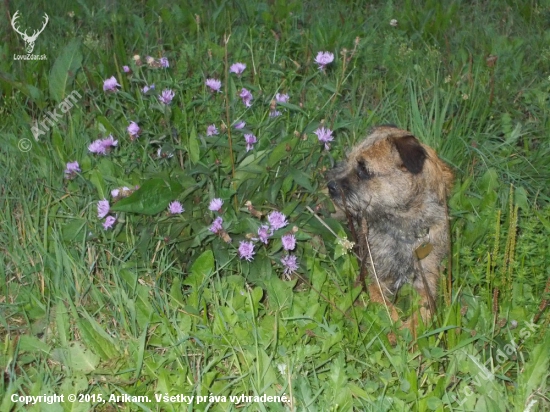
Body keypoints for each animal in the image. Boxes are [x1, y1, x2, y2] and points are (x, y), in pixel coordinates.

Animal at [328, 125, 452, 332]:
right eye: (349, 160)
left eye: (364, 169)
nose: (330, 185)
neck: (403, 230)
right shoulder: (373, 279)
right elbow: (385, 308)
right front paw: (396, 331)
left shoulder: (427, 282)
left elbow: (423, 311)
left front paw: (411, 332)